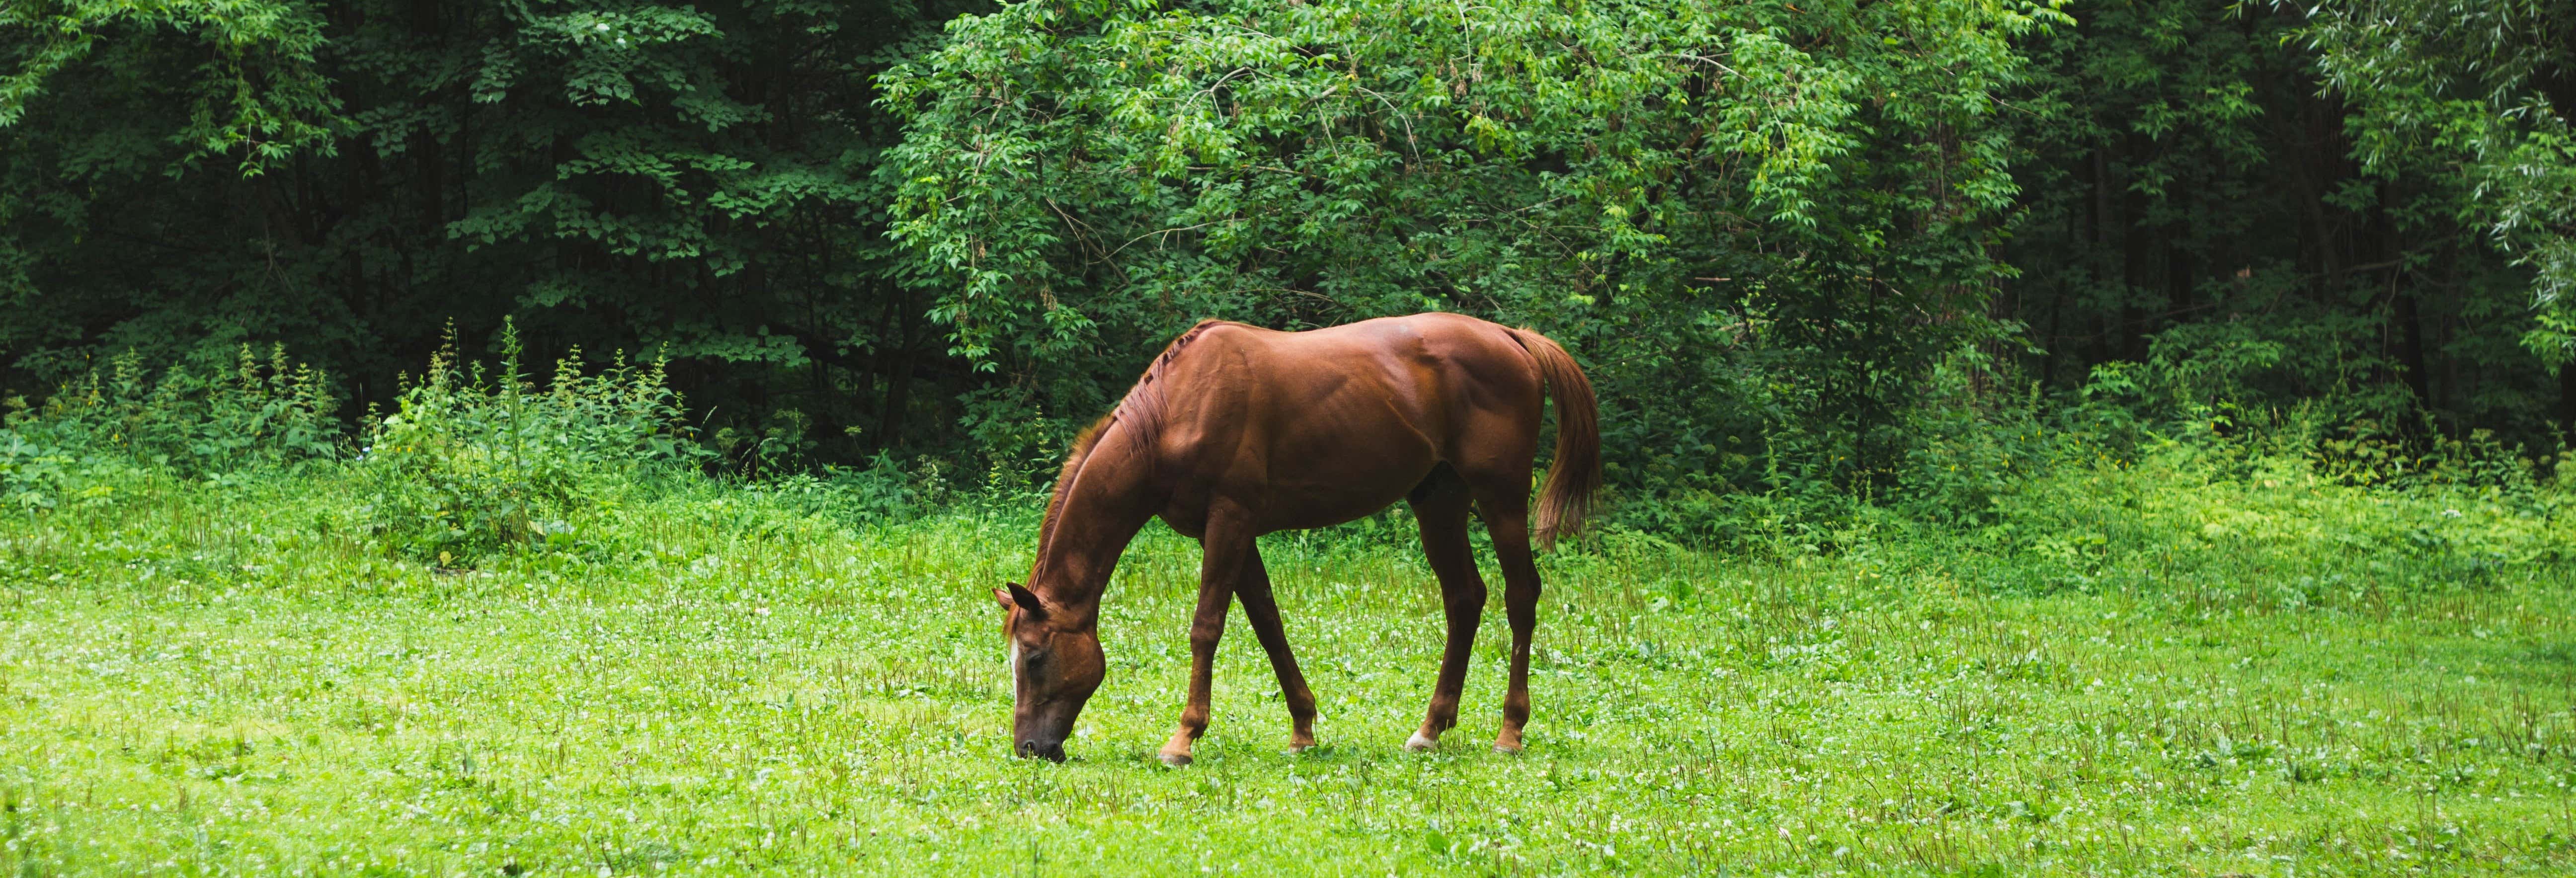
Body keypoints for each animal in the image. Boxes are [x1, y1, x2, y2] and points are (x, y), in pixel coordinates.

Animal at [984, 312, 1587, 762]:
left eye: (1034, 658)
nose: (1030, 748)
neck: (1177, 410)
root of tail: (1512, 338)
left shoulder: (1230, 520)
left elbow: (1207, 627)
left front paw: (1183, 738)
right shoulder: (1230, 532)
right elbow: (1268, 624)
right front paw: (1303, 727)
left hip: (1501, 499)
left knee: (1521, 596)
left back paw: (1510, 730)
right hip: (1439, 501)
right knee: (1464, 599)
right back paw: (1430, 729)